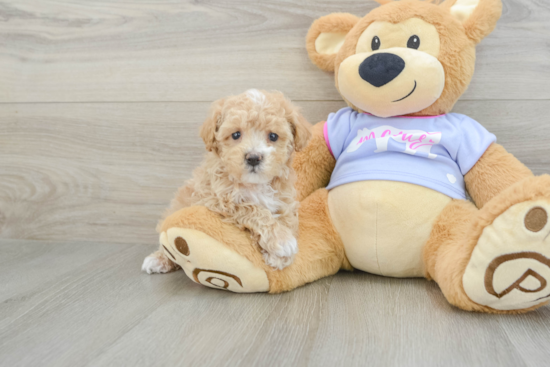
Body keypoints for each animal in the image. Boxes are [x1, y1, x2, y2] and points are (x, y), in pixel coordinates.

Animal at [142, 89, 312, 274]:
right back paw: (158, 259)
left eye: (273, 136)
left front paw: (280, 256)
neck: (254, 184)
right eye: (236, 134)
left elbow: (288, 221)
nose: (253, 158)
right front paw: (281, 240)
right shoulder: (216, 200)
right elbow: (252, 209)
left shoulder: (284, 200)